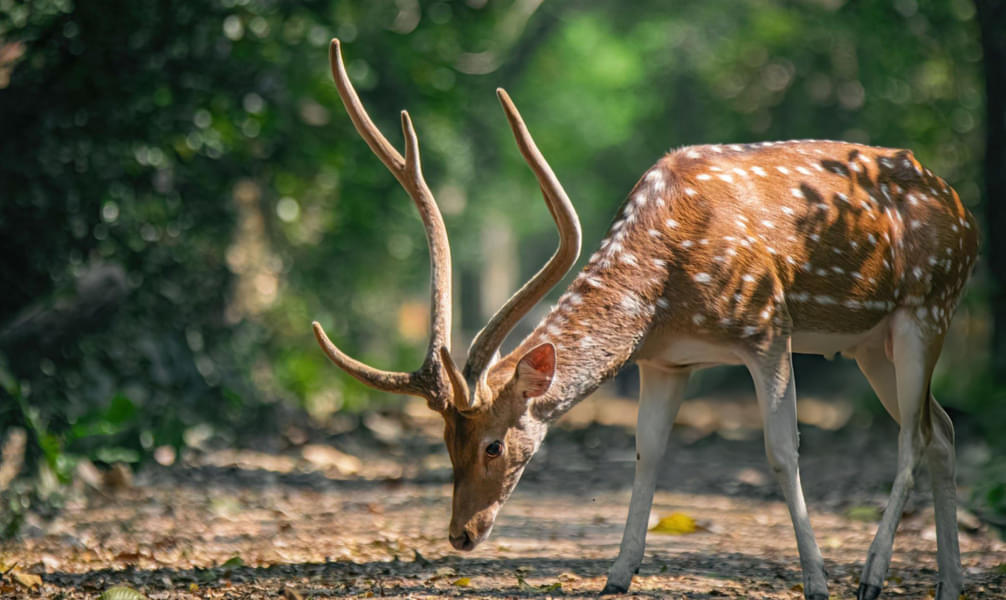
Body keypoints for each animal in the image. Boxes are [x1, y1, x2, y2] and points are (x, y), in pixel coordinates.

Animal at [311, 38, 973, 600]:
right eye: (446, 441)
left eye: (494, 446)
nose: (461, 535)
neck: (664, 288)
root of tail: (963, 210)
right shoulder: (664, 360)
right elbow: (647, 453)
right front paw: (617, 575)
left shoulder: (766, 325)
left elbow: (783, 452)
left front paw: (815, 582)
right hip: (869, 343)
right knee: (940, 427)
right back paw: (950, 583)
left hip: (928, 306)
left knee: (914, 435)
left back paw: (871, 576)